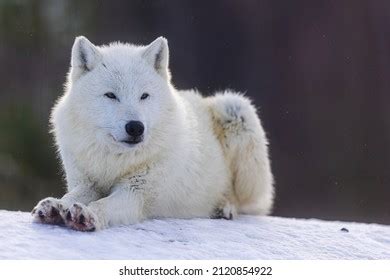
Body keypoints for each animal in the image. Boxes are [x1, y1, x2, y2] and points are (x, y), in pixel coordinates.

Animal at [31, 36, 274, 231]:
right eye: (111, 95)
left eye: (144, 96)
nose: (135, 127)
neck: (114, 161)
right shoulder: (86, 183)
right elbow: (72, 196)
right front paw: (55, 207)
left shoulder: (136, 193)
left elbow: (104, 204)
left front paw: (86, 214)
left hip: (236, 110)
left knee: (247, 202)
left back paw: (224, 207)